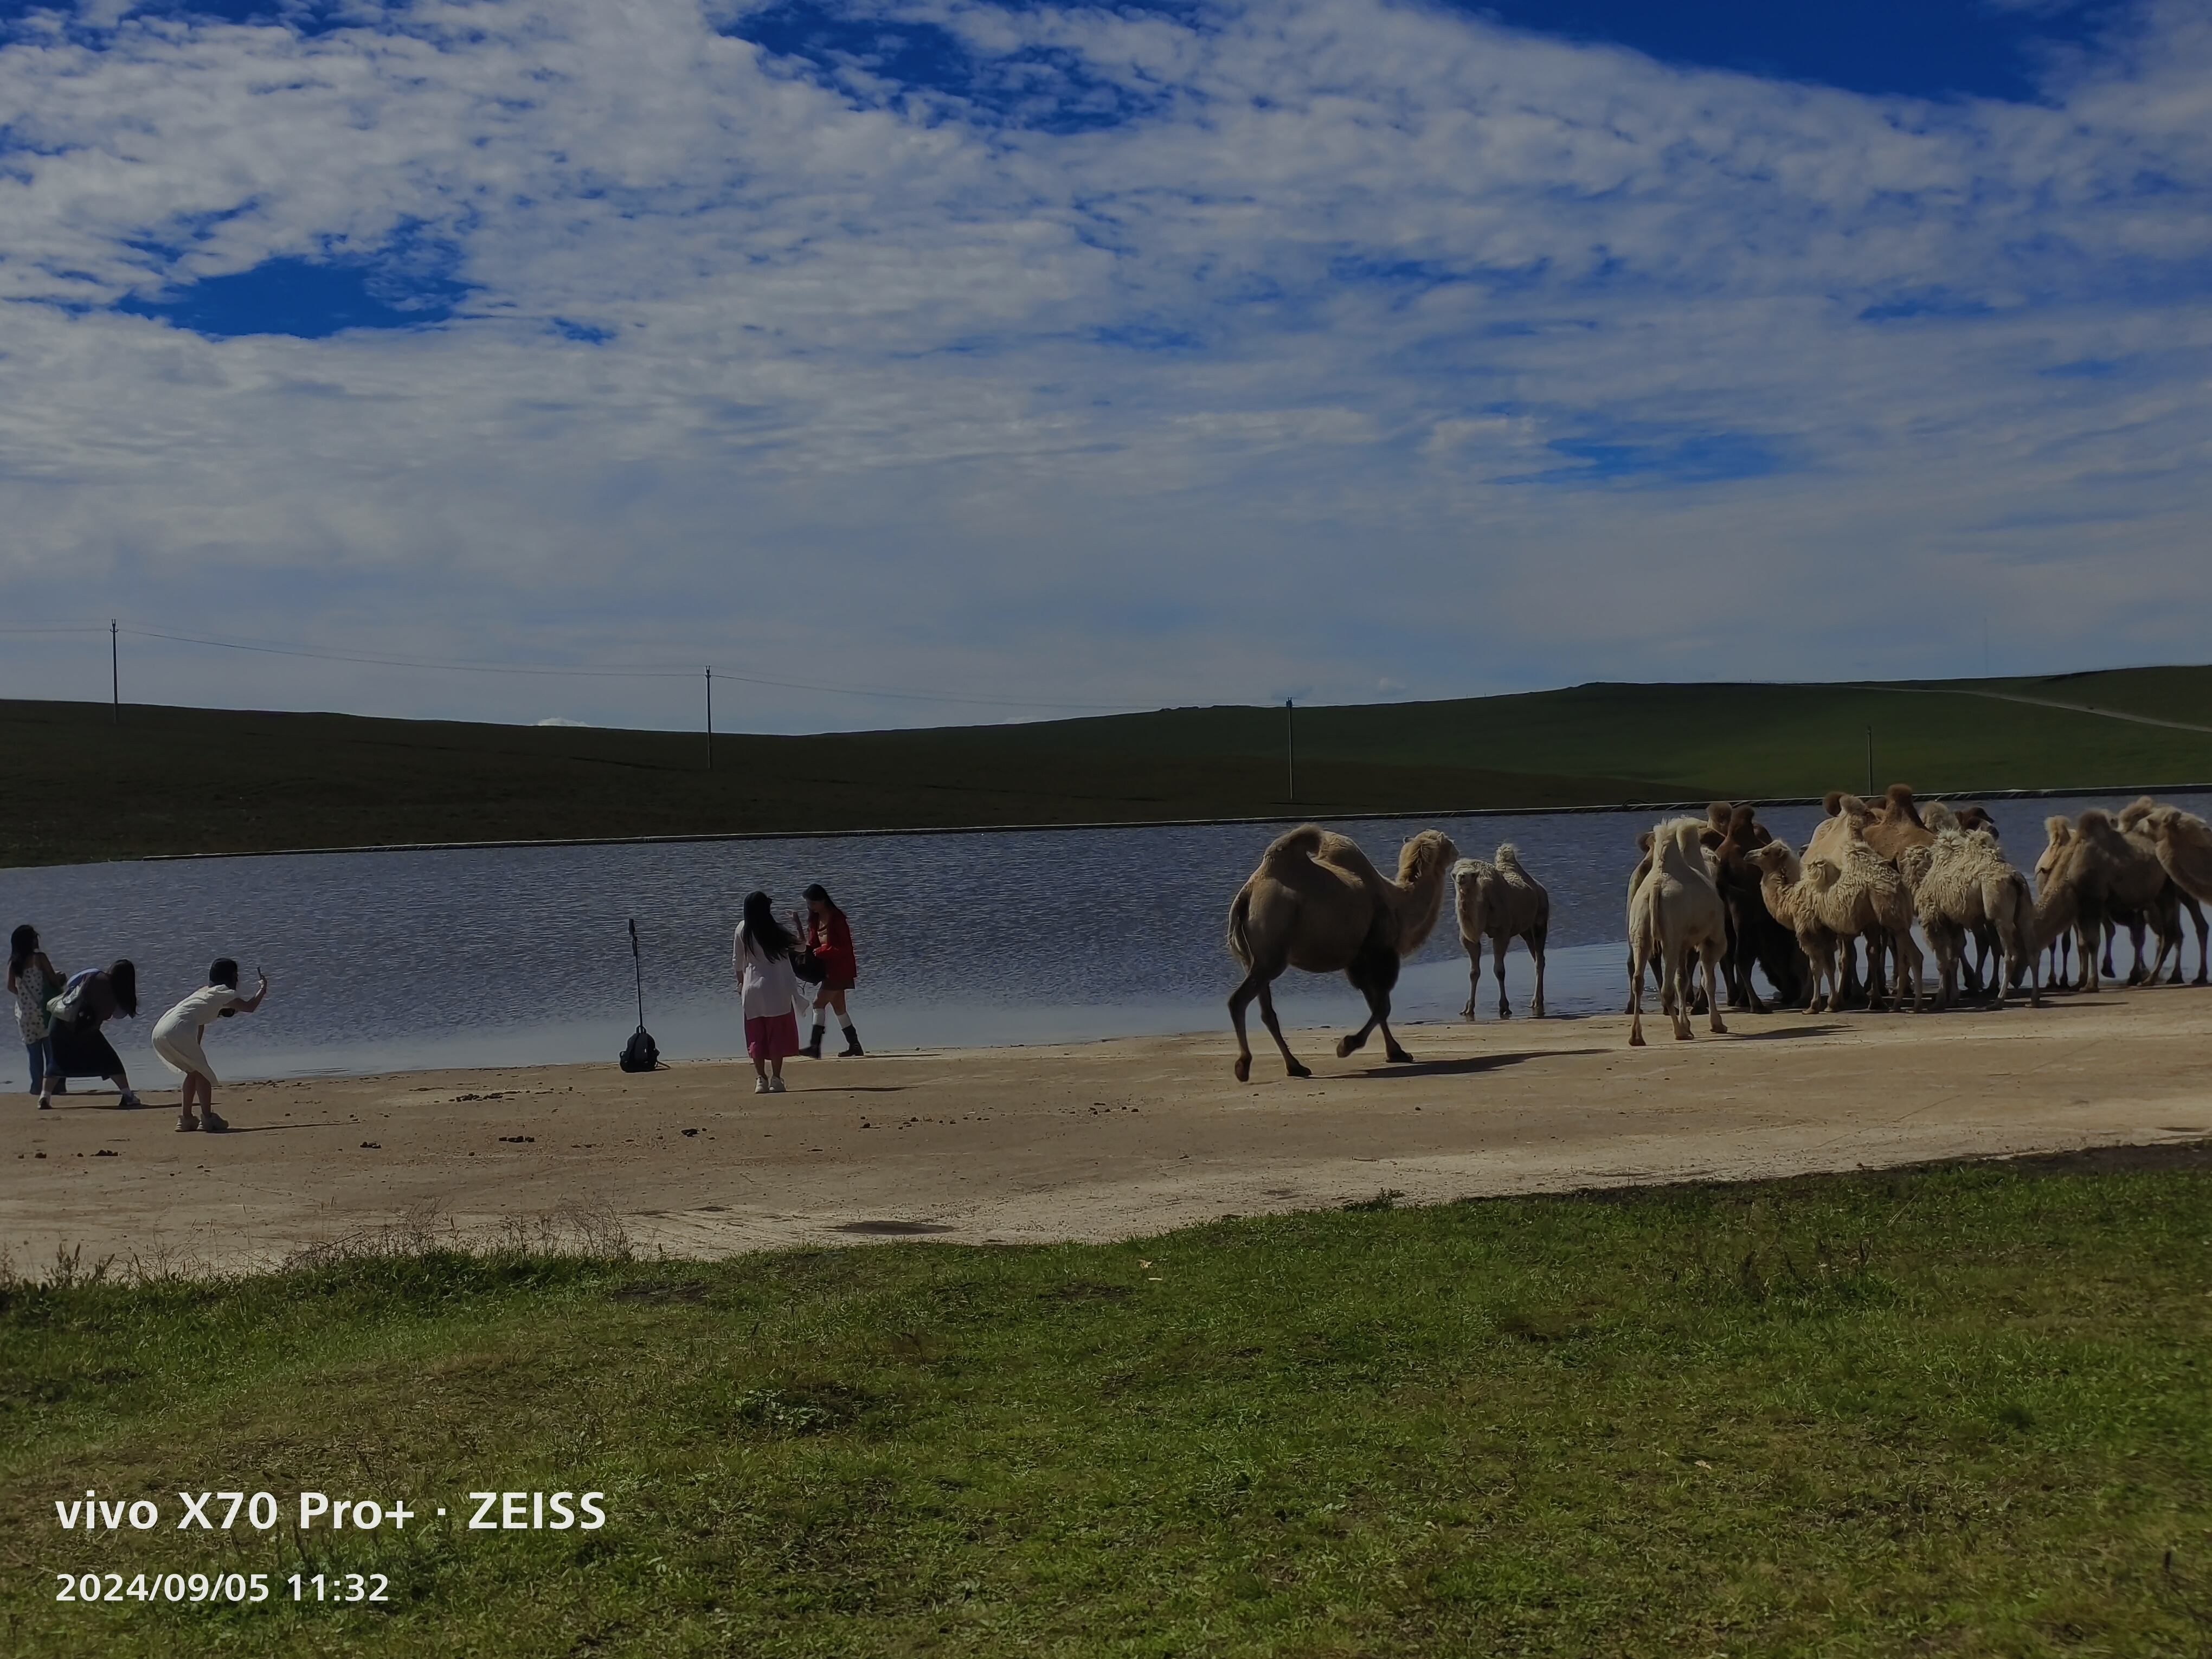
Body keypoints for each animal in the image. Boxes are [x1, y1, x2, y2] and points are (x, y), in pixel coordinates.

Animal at [1221, 827, 1459, 1084]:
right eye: (1448, 842)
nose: (1457, 851)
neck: (1399, 905)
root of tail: (1247, 897)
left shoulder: (1357, 960)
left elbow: (1375, 1004)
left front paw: (1396, 1052)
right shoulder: (1380, 952)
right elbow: (1382, 1006)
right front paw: (1347, 1045)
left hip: (1252, 959)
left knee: (1267, 1013)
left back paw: (1296, 1067)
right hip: (1271, 953)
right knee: (1239, 1000)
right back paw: (1244, 1066)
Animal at [1442, 849, 1548, 1021]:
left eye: (1472, 874)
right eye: (1454, 873)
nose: (1461, 877)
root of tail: (1539, 887)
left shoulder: (1502, 932)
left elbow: (1499, 970)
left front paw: (1504, 1007)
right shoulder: (1468, 938)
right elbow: (1474, 972)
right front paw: (1468, 1008)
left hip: (1541, 919)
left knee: (1539, 959)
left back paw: (1536, 1001)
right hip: (1526, 931)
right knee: (1537, 957)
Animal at [1628, 822, 1725, 1053]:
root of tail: (1654, 890)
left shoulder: (1684, 944)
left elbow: (1683, 980)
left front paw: (1688, 1024)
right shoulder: (1711, 940)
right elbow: (1708, 980)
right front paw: (1717, 1024)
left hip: (1640, 933)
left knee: (1639, 979)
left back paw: (1637, 1037)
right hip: (1670, 938)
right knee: (1667, 987)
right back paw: (1679, 1033)